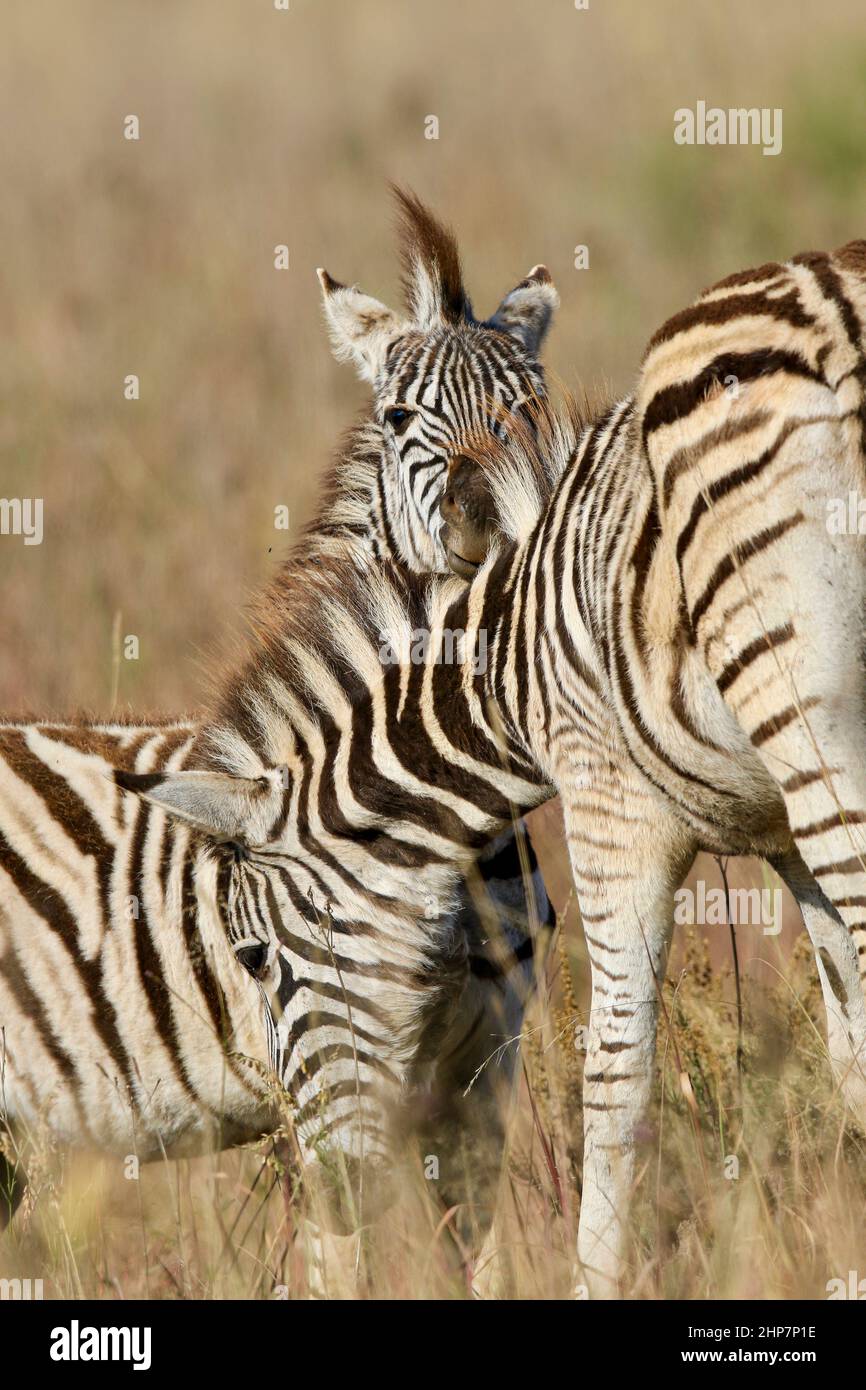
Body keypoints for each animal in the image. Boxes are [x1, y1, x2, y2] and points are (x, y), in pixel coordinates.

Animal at [419, 239, 866, 1289]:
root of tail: (833, 310)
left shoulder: (608, 808)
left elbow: (614, 1068)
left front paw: (596, 1277)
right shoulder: (785, 835)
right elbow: (848, 1044)